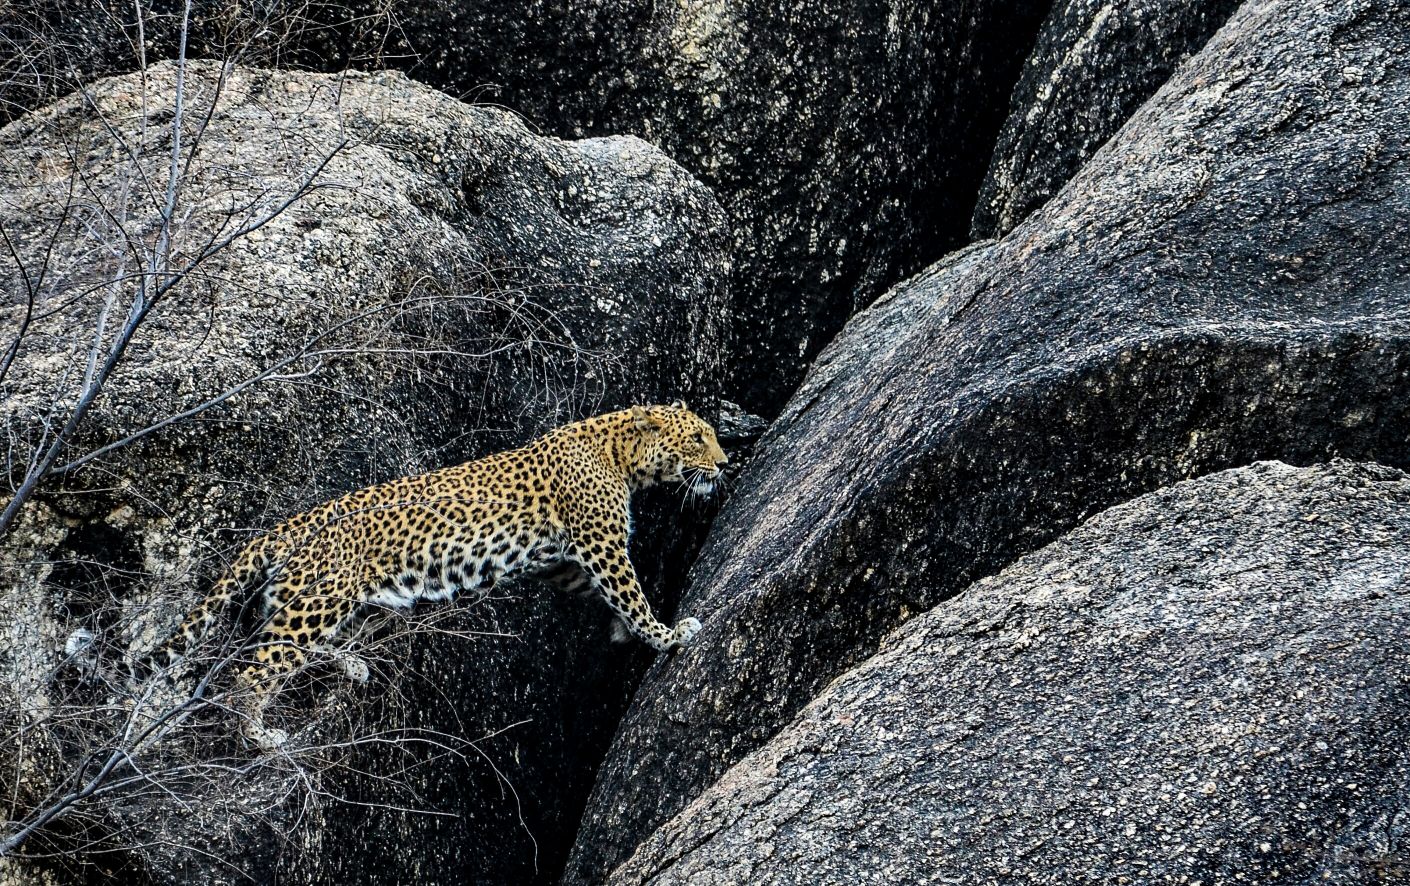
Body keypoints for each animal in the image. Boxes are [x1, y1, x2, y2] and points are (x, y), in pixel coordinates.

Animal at [147, 401, 727, 750]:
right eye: (698, 439)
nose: (723, 464)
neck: (621, 454)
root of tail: (291, 524)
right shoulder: (600, 545)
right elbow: (630, 593)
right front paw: (667, 635)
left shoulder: (563, 564)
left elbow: (602, 595)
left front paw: (626, 632)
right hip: (318, 601)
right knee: (253, 669)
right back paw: (260, 736)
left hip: (325, 601)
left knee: (285, 644)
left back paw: (351, 665)